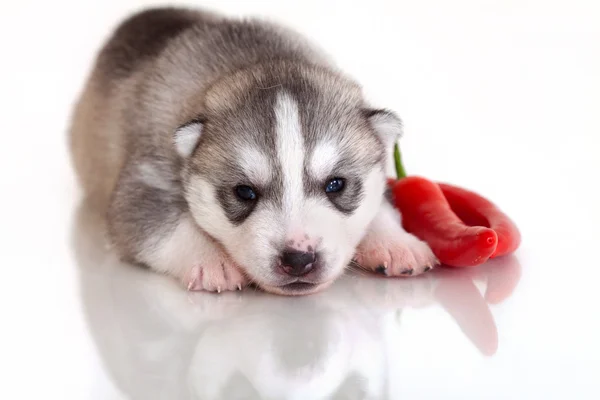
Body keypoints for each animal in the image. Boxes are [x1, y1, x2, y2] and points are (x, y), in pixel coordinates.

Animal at [70, 5, 438, 294]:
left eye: (337, 184)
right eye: (244, 192)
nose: (298, 258)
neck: (260, 57)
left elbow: (382, 206)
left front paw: (396, 242)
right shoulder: (143, 183)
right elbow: (162, 223)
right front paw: (211, 259)